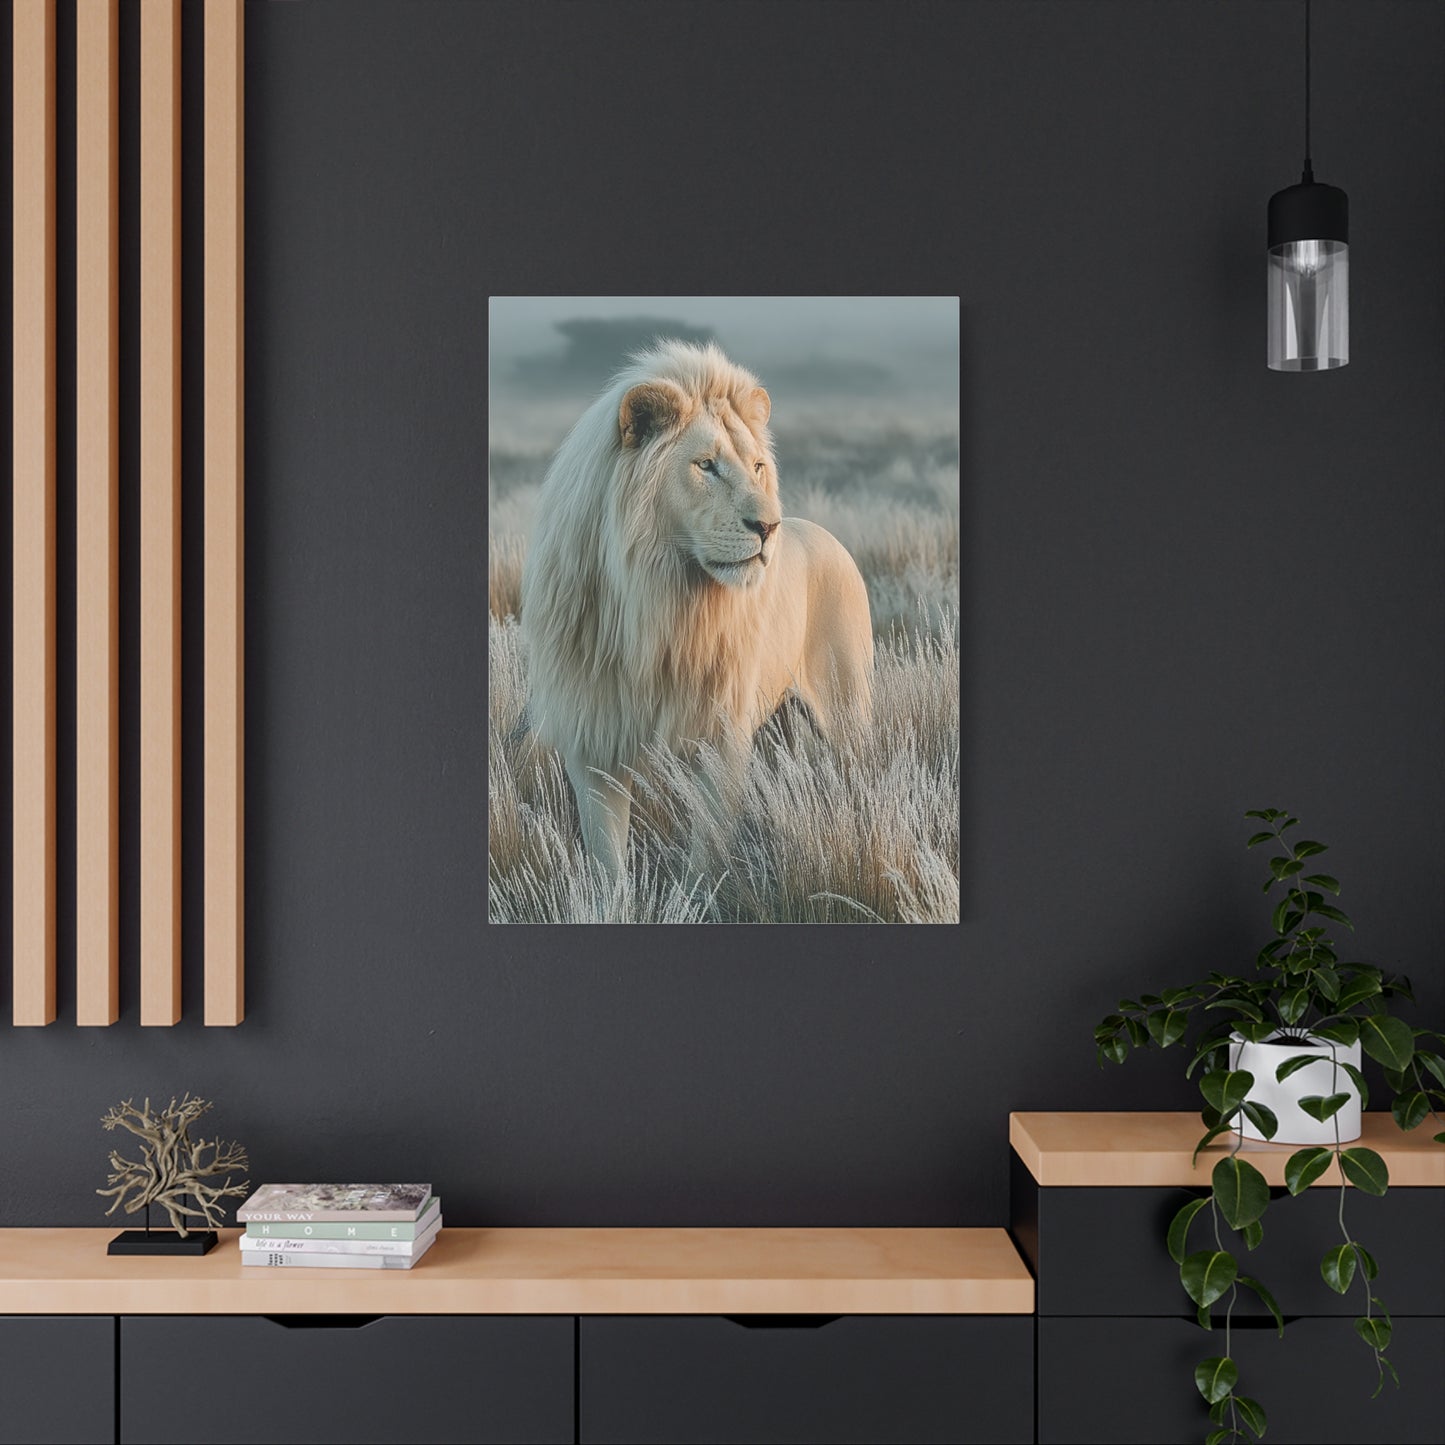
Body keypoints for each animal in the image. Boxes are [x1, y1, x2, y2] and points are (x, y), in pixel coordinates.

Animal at [520, 340, 874, 881]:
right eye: (706, 465)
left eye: (758, 467)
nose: (769, 527)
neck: (657, 601)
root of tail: (824, 533)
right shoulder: (593, 737)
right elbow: (607, 863)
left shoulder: (719, 737)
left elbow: (706, 852)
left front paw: (696, 894)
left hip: (848, 710)